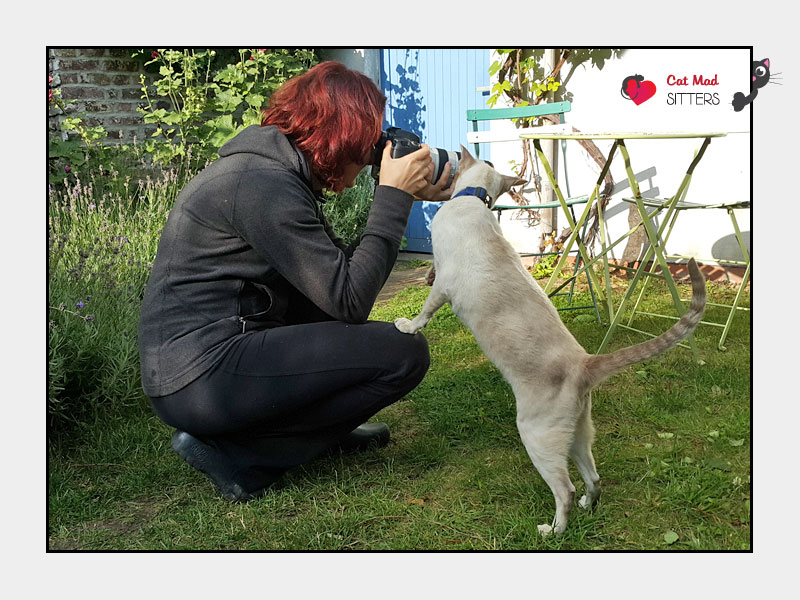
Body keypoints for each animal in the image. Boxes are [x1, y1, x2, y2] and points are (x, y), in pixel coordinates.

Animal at [396, 145, 708, 536]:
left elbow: (423, 312)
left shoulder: (444, 286)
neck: (473, 198)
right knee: (594, 479)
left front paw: (406, 326)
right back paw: (589, 508)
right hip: (576, 435)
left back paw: (552, 531)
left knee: (566, 489)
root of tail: (585, 363)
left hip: (535, 435)